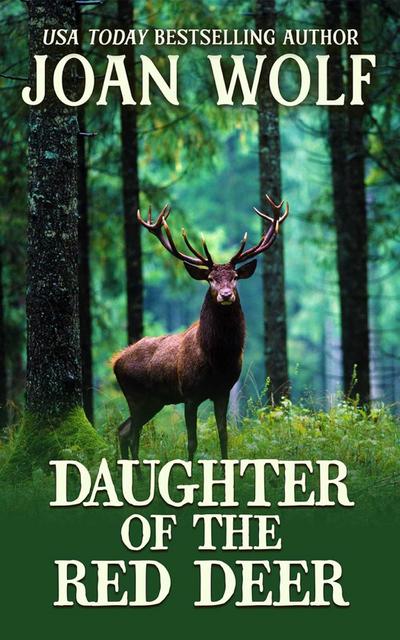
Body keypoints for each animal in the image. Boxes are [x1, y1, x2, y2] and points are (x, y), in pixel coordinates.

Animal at [112, 195, 289, 462]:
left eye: (235, 277)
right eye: (211, 279)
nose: (225, 295)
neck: (216, 358)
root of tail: (115, 361)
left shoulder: (223, 391)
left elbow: (224, 436)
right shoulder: (189, 394)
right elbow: (192, 442)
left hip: (155, 400)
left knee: (124, 430)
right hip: (137, 395)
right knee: (131, 433)